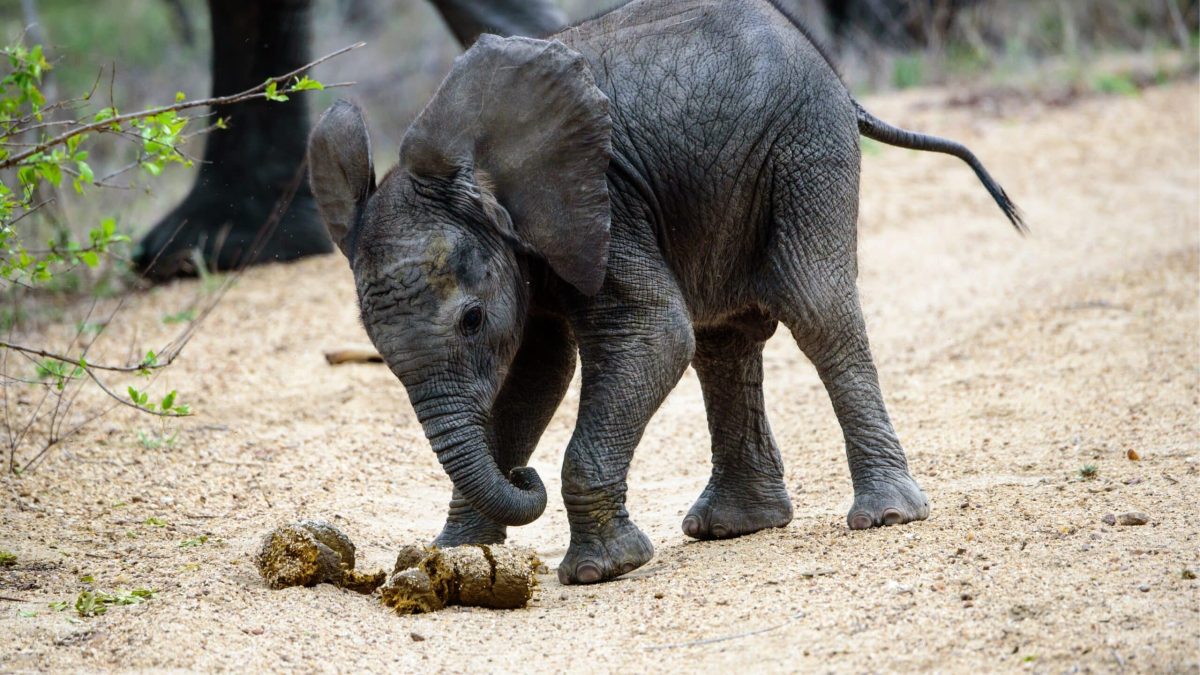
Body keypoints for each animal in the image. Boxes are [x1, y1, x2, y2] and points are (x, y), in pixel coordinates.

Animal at [306, 0, 1023, 585]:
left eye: (472, 320)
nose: (519, 476)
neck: (475, 171)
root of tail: (835, 77)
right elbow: (540, 374)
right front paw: (451, 557)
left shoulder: (606, 201)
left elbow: (651, 336)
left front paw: (602, 570)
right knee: (724, 339)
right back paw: (735, 526)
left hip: (805, 147)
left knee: (816, 309)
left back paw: (887, 516)